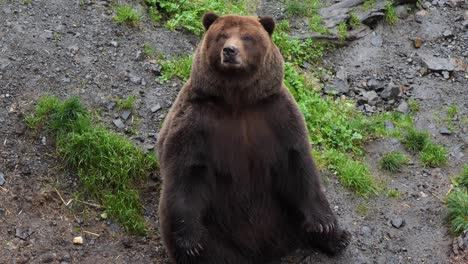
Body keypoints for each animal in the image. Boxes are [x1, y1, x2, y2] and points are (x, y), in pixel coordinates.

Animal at [157, 11, 352, 264]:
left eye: (247, 37)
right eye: (222, 35)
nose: (230, 51)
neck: (238, 101)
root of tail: (264, 250)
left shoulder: (277, 114)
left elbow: (297, 163)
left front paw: (324, 225)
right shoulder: (195, 120)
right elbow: (186, 170)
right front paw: (191, 243)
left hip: (282, 212)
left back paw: (337, 238)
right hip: (218, 227)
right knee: (206, 246)